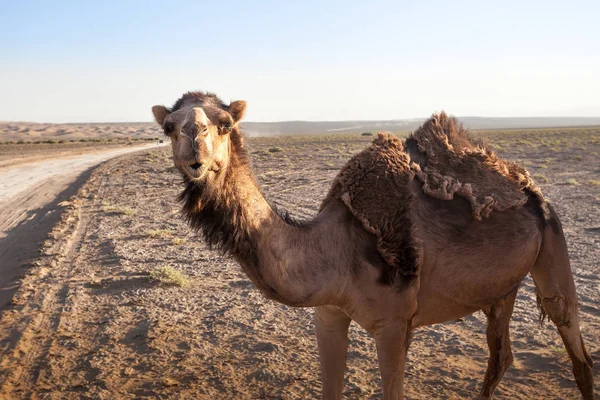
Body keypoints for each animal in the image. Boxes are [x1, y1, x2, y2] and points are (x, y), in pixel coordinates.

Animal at [152, 92, 592, 398]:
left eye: (225, 123)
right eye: (169, 127)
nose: (194, 140)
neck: (329, 248)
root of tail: (527, 185)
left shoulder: (393, 324)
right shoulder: (327, 314)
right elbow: (331, 388)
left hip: (553, 240)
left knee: (575, 345)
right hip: (502, 289)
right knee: (500, 356)